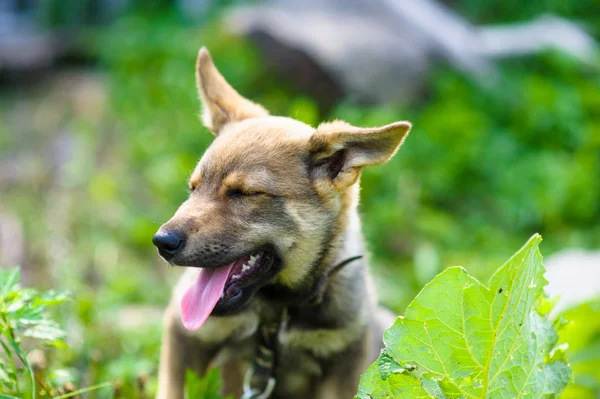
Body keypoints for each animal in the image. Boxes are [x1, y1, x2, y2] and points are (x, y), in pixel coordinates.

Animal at [152, 47, 410, 399]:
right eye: (194, 188)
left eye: (245, 193)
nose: (162, 242)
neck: (274, 311)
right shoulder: (184, 336)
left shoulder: (344, 357)